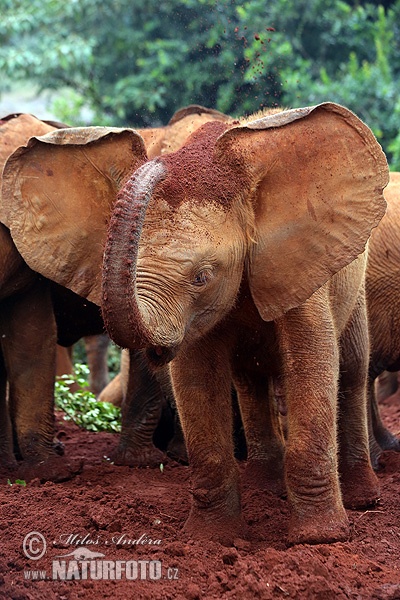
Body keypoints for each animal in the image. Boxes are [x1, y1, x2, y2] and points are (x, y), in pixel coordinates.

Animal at [3, 103, 390, 544]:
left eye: (202, 276)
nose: (159, 164)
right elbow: (195, 375)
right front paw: (211, 539)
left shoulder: (299, 264)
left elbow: (313, 361)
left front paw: (317, 539)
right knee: (250, 381)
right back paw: (264, 489)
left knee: (353, 370)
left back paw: (362, 500)